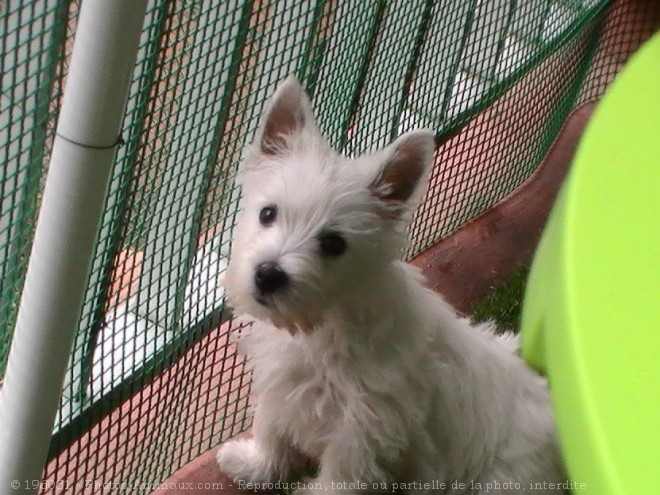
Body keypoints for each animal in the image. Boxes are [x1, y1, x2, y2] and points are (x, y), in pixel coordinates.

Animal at [217, 77, 564, 495]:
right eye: (268, 213)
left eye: (333, 244)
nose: (268, 274)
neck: (324, 325)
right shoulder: (281, 384)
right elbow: (270, 428)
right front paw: (252, 466)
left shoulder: (364, 430)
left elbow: (337, 479)